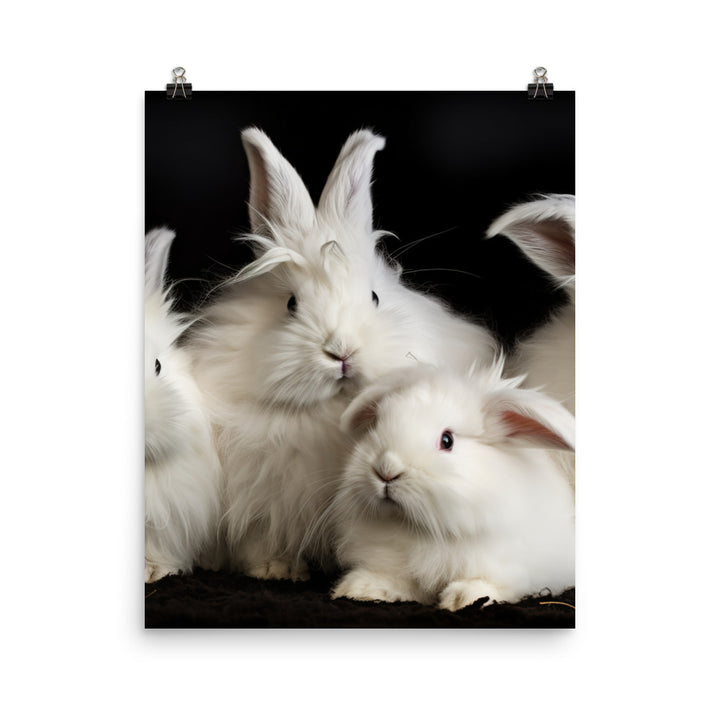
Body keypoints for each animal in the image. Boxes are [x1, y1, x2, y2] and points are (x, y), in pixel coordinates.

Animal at [188, 127, 499, 581]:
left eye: (374, 297)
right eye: (291, 304)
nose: (341, 351)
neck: (331, 411)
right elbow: (259, 537)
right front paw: (274, 568)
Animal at [330, 359, 575, 611]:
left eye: (447, 440)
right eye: (377, 424)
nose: (386, 469)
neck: (422, 529)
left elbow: (491, 583)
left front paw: (463, 598)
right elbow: (395, 579)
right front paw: (360, 589)